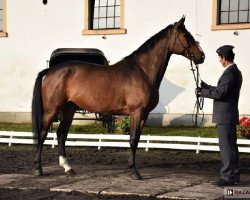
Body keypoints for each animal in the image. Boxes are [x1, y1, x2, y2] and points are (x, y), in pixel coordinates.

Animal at [32, 16, 205, 180]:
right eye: (186, 35)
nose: (201, 56)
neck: (143, 71)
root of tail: (51, 70)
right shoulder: (136, 112)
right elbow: (133, 139)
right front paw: (134, 172)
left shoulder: (144, 114)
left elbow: (137, 139)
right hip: (52, 110)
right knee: (42, 134)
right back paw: (38, 169)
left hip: (69, 109)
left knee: (61, 134)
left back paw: (68, 168)